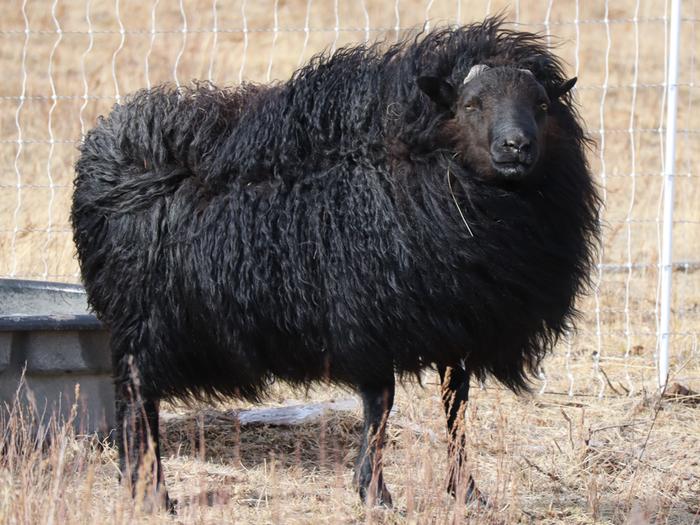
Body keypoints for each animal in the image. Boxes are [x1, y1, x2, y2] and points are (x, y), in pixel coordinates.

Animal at [72, 18, 600, 510]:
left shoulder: (457, 323)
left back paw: (136, 487)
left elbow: (456, 408)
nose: (517, 147)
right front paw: (374, 492)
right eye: (472, 104)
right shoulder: (367, 315)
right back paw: (154, 494)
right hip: (144, 321)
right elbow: (380, 404)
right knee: (137, 401)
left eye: (542, 106)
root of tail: (104, 141)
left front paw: (466, 492)